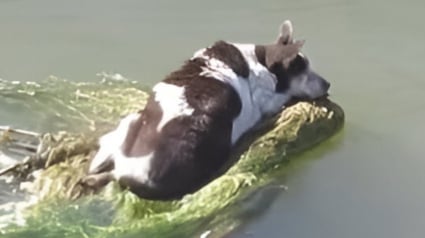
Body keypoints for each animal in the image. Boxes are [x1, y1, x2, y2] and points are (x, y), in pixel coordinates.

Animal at [83, 20, 328, 200]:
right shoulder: (268, 100)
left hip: (130, 121)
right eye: (303, 70)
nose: (328, 84)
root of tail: (133, 174)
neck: (261, 62)